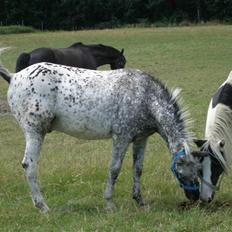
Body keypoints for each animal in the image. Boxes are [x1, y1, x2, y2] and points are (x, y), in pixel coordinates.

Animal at [0, 50, 199, 212]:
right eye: (182, 171)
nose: (196, 198)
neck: (145, 96)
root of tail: (14, 76)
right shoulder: (121, 138)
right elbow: (114, 169)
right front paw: (109, 204)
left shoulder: (140, 139)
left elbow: (138, 169)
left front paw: (140, 202)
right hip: (34, 132)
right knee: (29, 165)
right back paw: (43, 207)